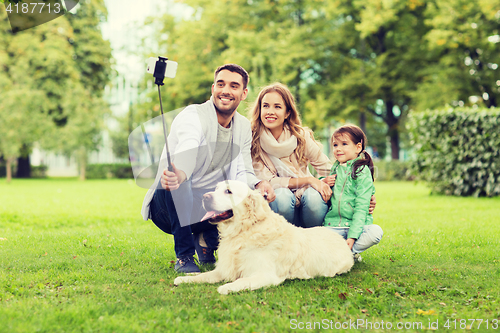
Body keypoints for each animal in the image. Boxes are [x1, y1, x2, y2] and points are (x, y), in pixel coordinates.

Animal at [174, 179, 354, 294]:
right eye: (216, 189)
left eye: (228, 191)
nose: (205, 197)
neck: (244, 231)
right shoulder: (224, 268)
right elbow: (204, 275)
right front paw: (185, 278)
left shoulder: (265, 275)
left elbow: (241, 281)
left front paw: (227, 287)